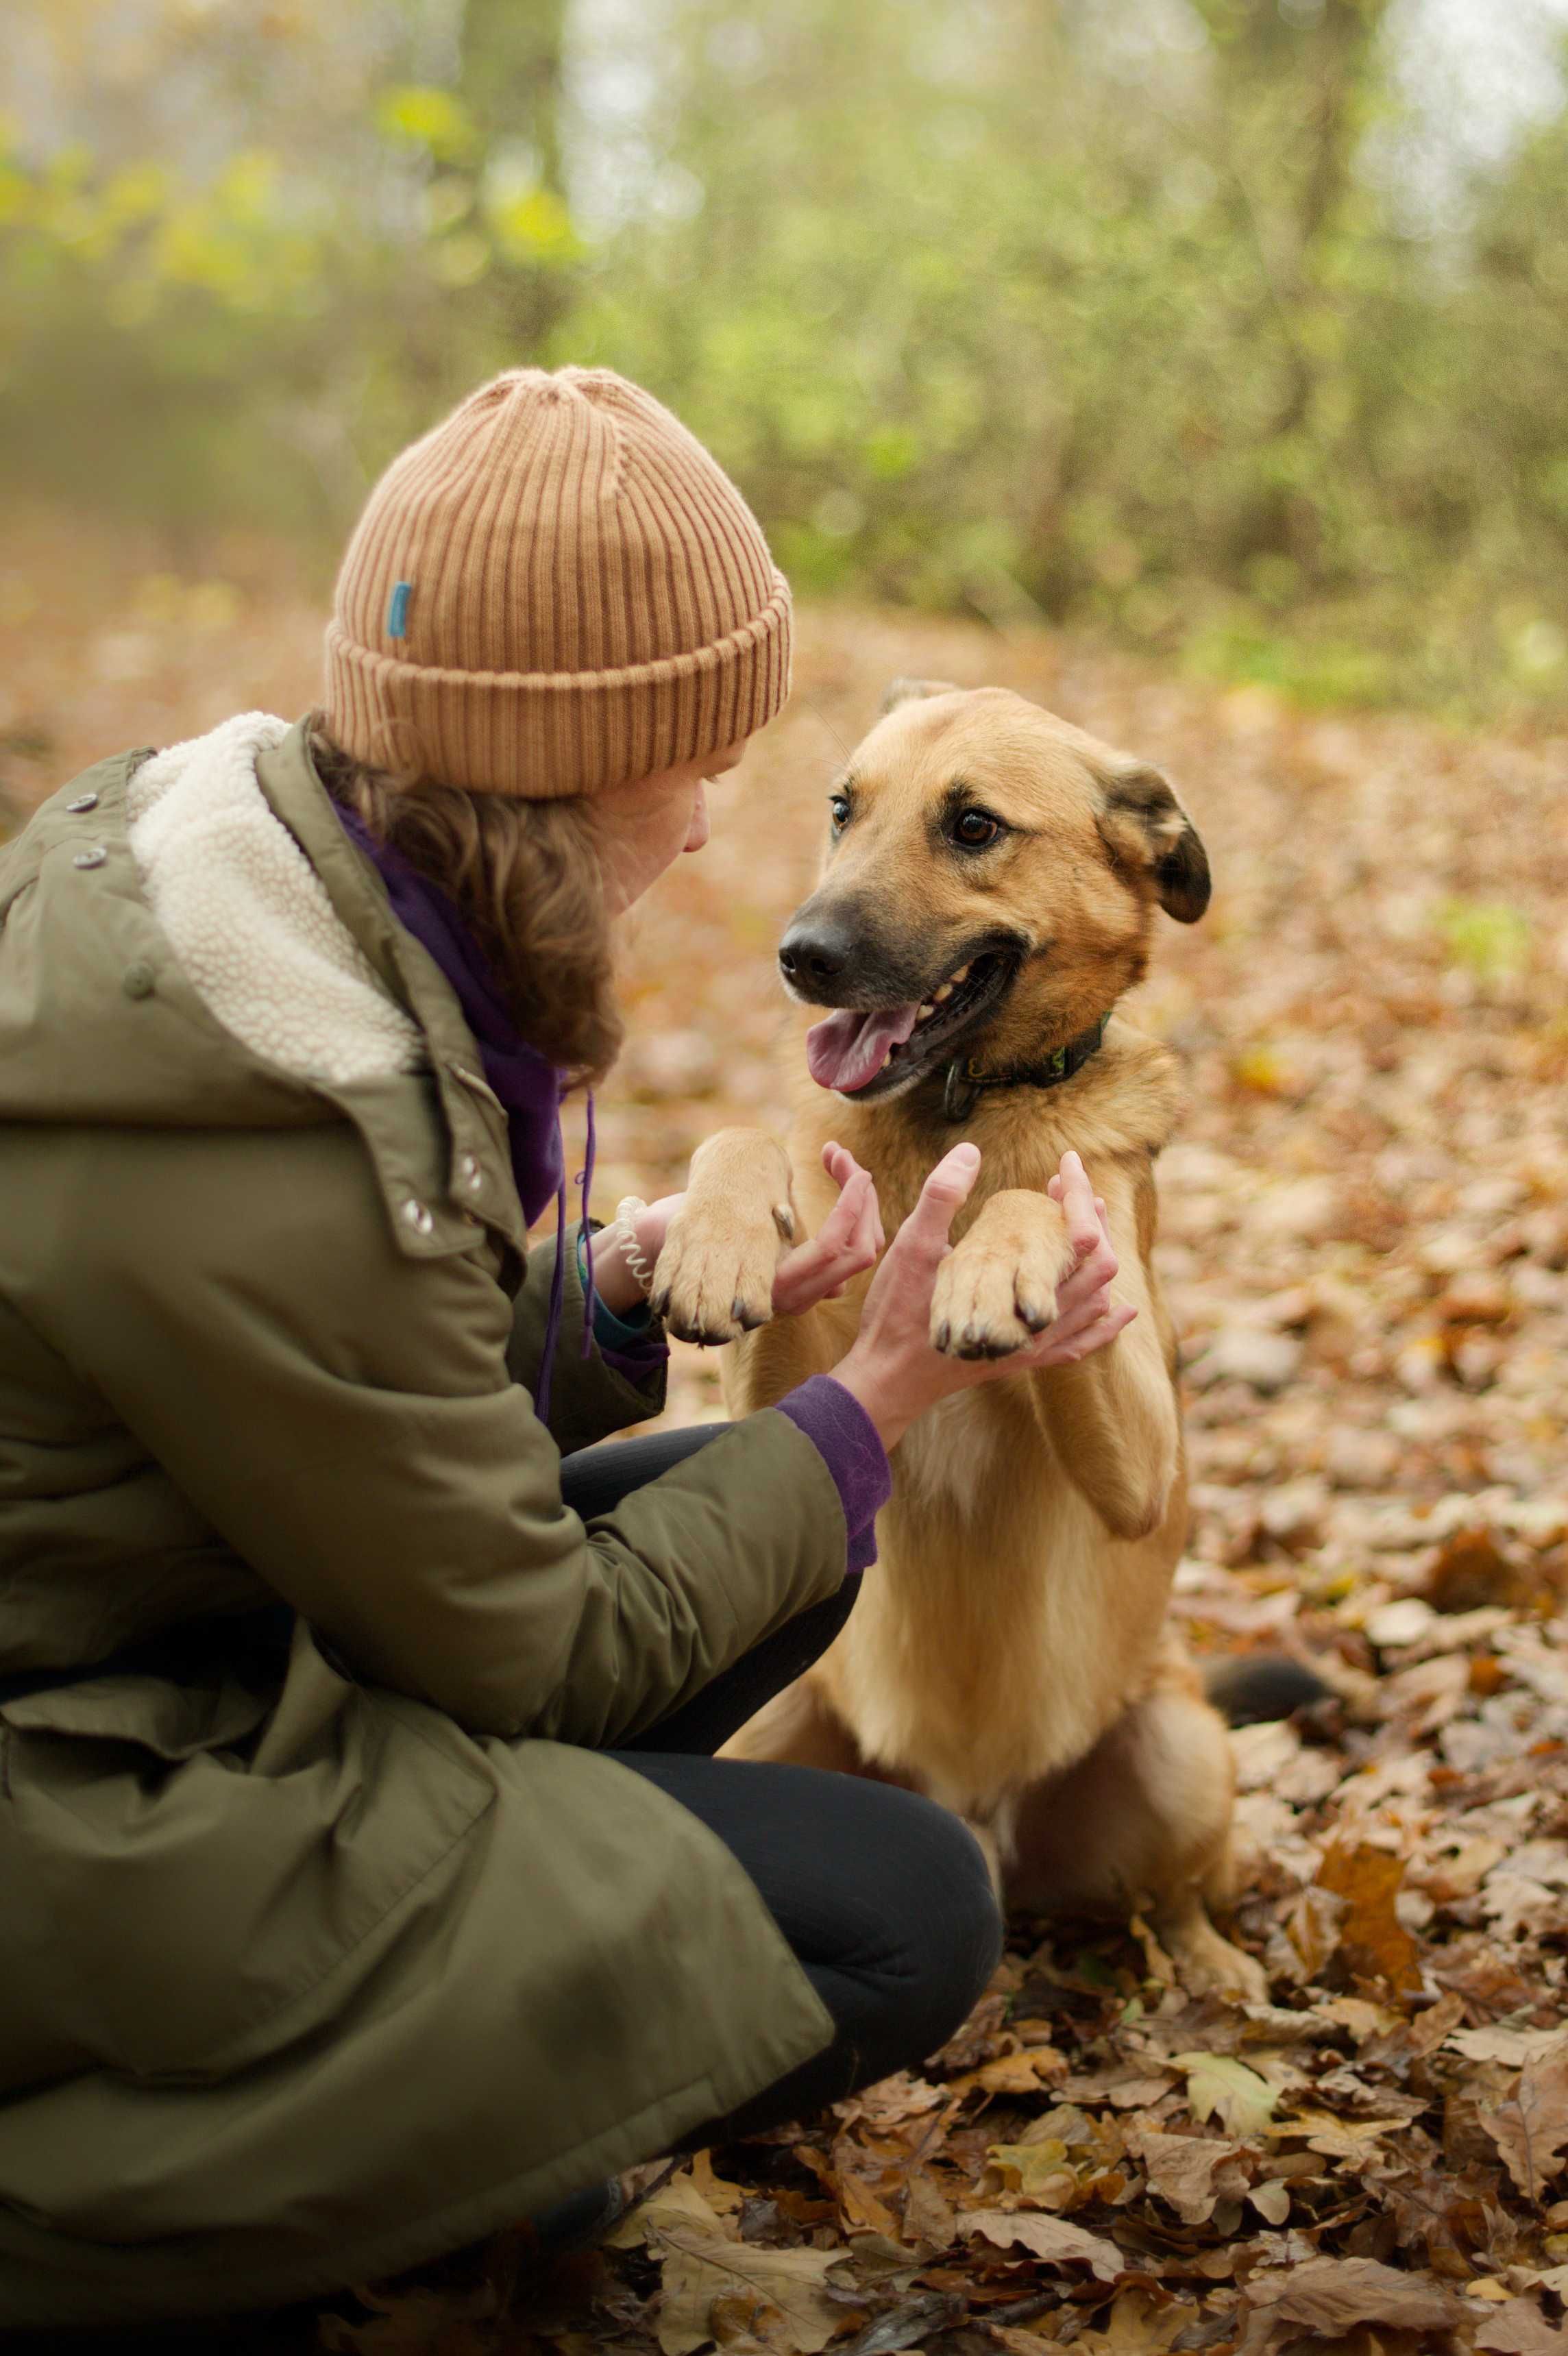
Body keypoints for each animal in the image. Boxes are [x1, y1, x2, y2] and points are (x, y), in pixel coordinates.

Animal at [654, 687, 1262, 2007]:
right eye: (843, 807)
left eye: (973, 824)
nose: (800, 956)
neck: (958, 1111)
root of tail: (978, 1818)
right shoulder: (788, 1403)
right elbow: (740, 1138)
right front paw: (718, 1241)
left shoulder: (1147, 1463)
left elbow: (1037, 1199)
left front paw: (995, 1263)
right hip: (779, 1722)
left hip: (1178, 1743)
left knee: (1179, 1896)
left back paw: (1213, 1968)